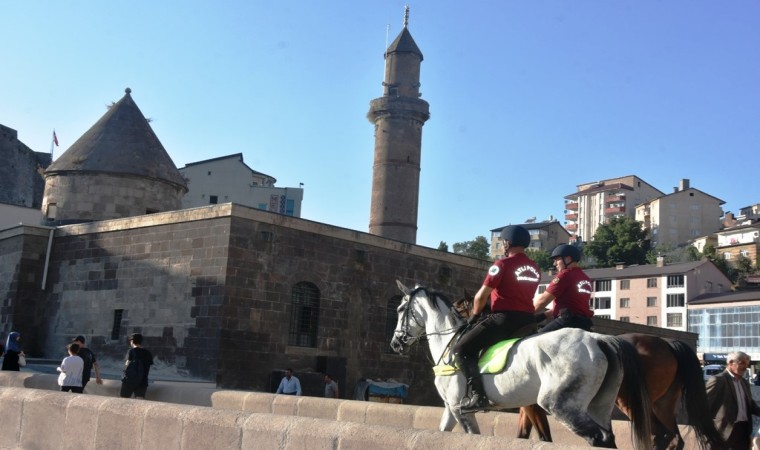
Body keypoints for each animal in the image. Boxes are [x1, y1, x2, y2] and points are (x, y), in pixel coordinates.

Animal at [388, 284, 652, 448]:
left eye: (400, 309)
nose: (395, 343)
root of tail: (597, 339)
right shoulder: (451, 408)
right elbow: (443, 432)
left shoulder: (458, 407)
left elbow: (473, 435)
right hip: (600, 405)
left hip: (559, 403)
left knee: (599, 438)